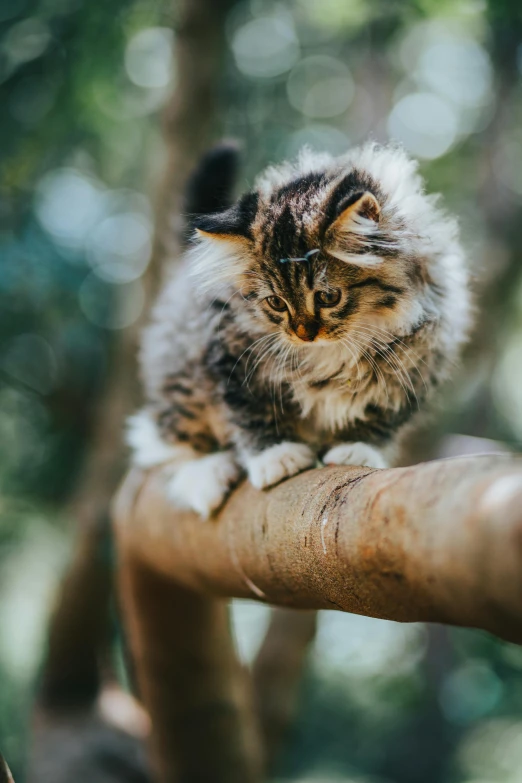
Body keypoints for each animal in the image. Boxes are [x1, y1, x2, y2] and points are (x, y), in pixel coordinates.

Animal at [128, 141, 470, 520]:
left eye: (327, 296)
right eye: (276, 303)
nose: (303, 333)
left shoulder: (418, 362)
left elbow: (382, 414)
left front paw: (358, 447)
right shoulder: (229, 353)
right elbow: (248, 410)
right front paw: (275, 455)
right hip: (183, 374)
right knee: (164, 440)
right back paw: (206, 475)